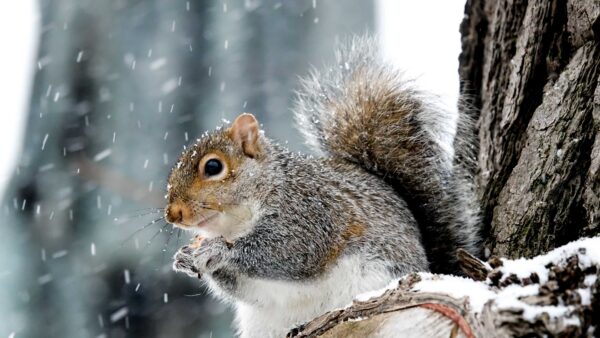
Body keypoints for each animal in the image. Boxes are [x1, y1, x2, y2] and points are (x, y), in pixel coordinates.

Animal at [165, 35, 482, 336]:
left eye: (213, 167)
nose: (172, 214)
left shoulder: (311, 212)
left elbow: (287, 251)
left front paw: (219, 251)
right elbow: (243, 288)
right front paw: (185, 258)